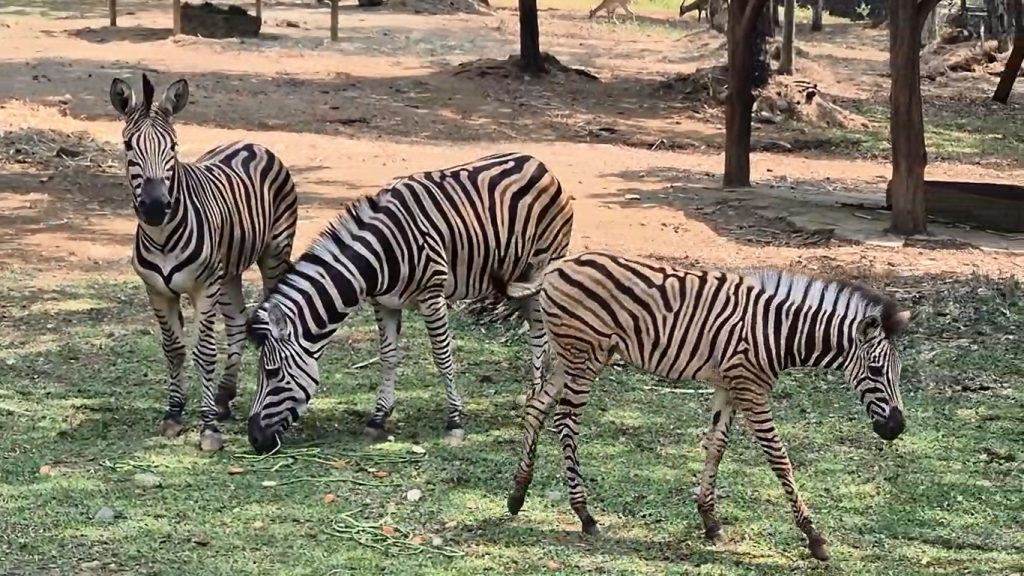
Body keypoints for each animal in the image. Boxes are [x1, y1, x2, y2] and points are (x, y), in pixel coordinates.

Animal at [109, 73, 299, 452]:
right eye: (128, 146)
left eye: (173, 146)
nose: (155, 207)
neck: (162, 236)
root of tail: (250, 143)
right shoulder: (157, 291)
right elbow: (174, 350)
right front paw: (174, 414)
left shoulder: (203, 288)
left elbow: (205, 351)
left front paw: (208, 427)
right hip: (228, 273)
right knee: (238, 321)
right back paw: (224, 396)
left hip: (273, 253)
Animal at [244, 152, 574, 454]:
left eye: (272, 373)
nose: (255, 439)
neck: (375, 257)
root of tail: (536, 162)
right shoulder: (384, 303)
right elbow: (388, 356)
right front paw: (378, 417)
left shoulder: (432, 296)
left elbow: (442, 356)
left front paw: (454, 420)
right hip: (515, 279)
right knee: (536, 331)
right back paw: (534, 393)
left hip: (543, 266)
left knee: (541, 332)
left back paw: (539, 397)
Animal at [505, 251, 911, 561]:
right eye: (876, 371)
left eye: (898, 372)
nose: (897, 428)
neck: (778, 332)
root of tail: (557, 267)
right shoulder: (751, 388)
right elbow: (779, 458)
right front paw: (814, 537)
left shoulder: (728, 387)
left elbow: (716, 445)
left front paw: (710, 521)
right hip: (584, 357)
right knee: (565, 420)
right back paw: (584, 514)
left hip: (570, 356)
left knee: (535, 407)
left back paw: (517, 495)